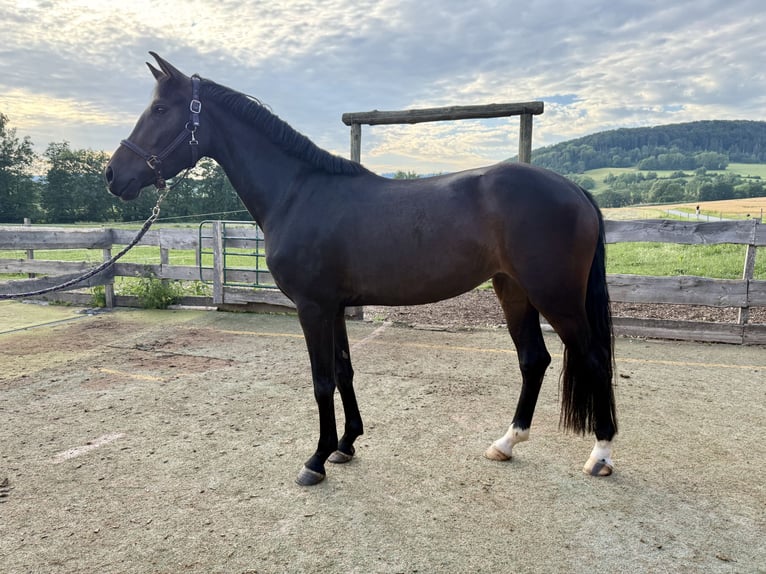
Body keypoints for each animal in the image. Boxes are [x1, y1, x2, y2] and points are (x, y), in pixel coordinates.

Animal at [105, 53, 618, 486]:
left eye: (160, 109)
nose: (113, 175)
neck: (297, 192)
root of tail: (575, 190)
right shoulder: (334, 307)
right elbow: (344, 370)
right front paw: (346, 445)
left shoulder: (312, 308)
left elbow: (321, 381)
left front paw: (315, 460)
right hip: (513, 290)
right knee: (534, 360)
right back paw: (507, 442)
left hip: (555, 297)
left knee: (593, 357)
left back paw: (600, 454)